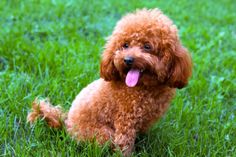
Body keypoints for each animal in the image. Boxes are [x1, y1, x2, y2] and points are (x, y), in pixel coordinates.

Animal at [27, 8, 192, 156]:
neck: (144, 87)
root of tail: (66, 123)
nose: (127, 60)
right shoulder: (125, 122)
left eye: (147, 46)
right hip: (103, 134)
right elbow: (124, 145)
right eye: (125, 45)